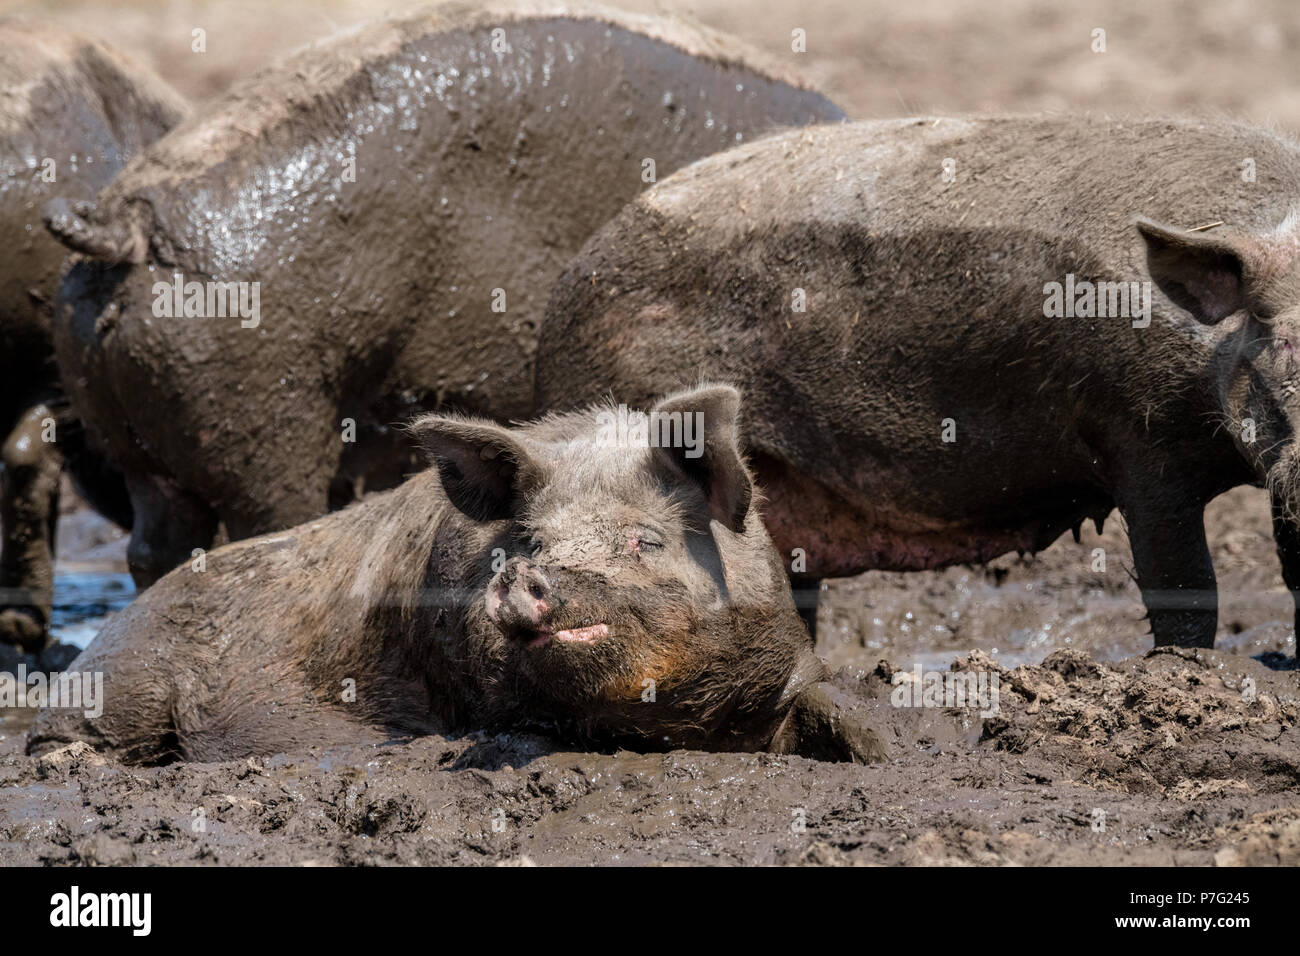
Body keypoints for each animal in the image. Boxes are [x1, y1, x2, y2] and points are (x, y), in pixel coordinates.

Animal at [25, 385, 883, 764]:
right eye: (527, 538)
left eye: (646, 539)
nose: (530, 576)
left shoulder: (784, 671)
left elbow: (837, 714)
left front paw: (876, 749)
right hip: (126, 679)